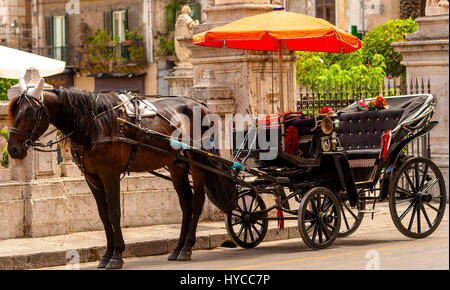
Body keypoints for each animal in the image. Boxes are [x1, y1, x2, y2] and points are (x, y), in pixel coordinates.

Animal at [7, 77, 236, 270]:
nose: (13, 149)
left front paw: (117, 255)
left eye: (29, 113)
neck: (94, 124)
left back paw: (187, 248)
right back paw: (178, 248)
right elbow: (103, 214)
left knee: (197, 202)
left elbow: (115, 212)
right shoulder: (92, 178)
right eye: (13, 111)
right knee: (186, 204)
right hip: (177, 165)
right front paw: (107, 254)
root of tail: (202, 106)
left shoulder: (110, 174)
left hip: (198, 161)